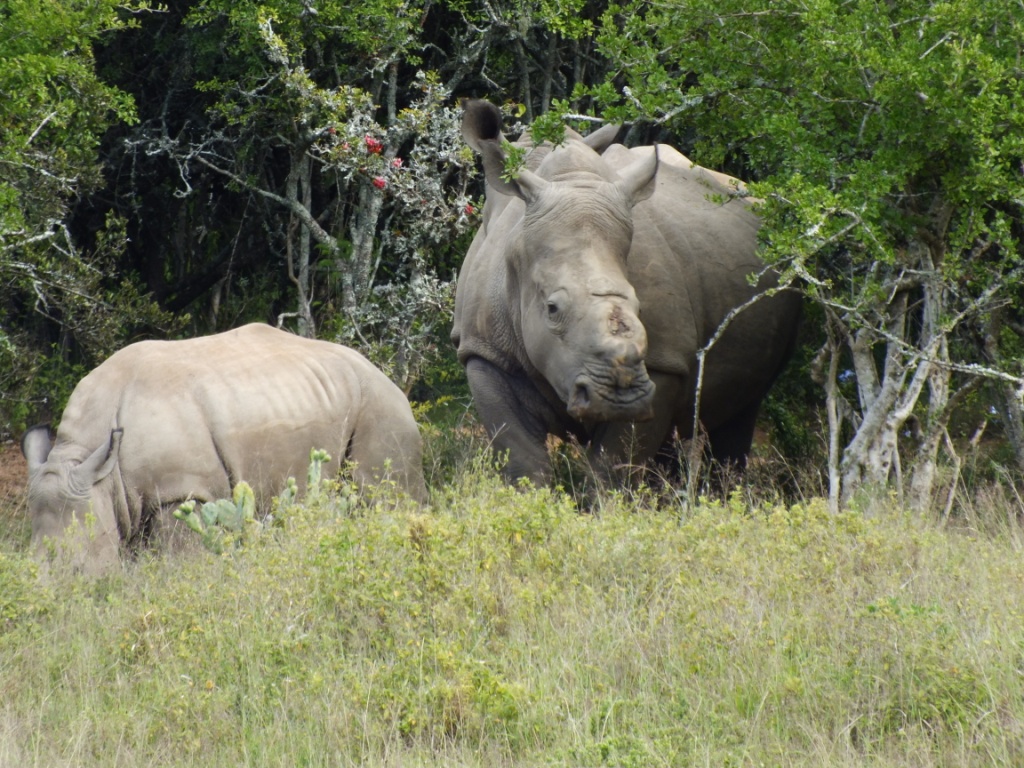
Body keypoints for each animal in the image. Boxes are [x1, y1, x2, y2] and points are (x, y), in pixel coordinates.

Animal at [20, 321, 428, 573]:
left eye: (77, 570)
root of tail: (381, 371)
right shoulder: (128, 498)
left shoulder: (182, 490)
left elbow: (181, 564)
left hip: (381, 406)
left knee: (386, 495)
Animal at [454, 100, 798, 487]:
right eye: (552, 308)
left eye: (639, 305)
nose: (623, 391)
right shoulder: (485, 352)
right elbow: (523, 462)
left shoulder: (664, 365)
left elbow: (611, 471)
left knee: (740, 413)